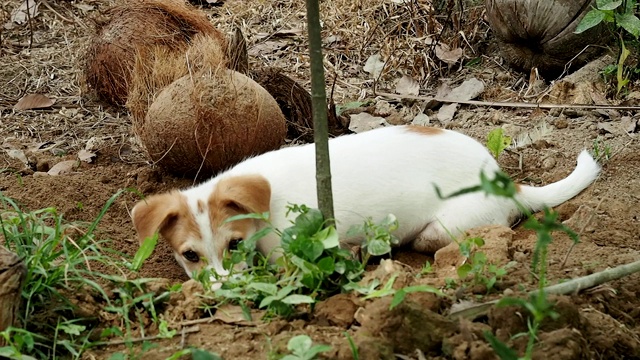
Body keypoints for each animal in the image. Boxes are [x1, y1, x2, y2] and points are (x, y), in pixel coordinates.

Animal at [130, 125, 600, 280]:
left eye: (235, 245)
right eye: (189, 255)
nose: (226, 291)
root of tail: (508, 182)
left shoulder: (289, 253)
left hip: (446, 227)